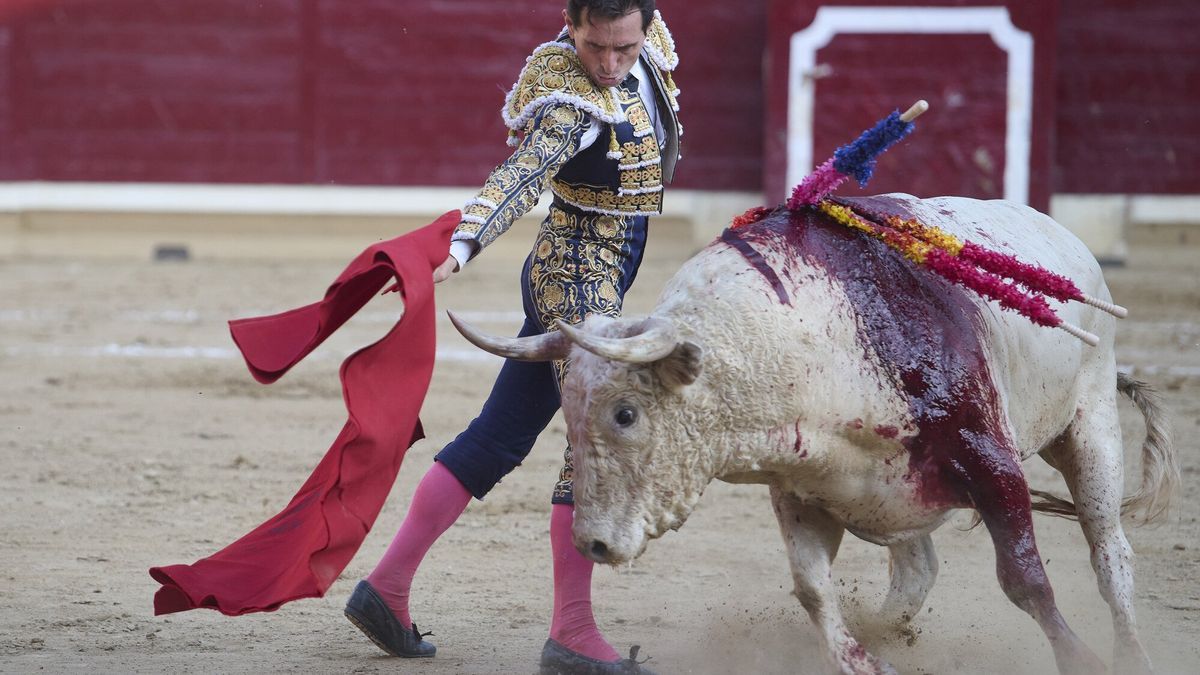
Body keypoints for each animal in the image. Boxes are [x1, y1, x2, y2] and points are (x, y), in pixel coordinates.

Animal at [451, 194, 1171, 672]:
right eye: (569, 410)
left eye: (626, 413)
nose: (593, 541)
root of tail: (1064, 238)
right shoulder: (803, 490)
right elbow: (812, 587)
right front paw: (860, 657)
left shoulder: (988, 459)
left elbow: (1024, 578)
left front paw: (1080, 657)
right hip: (895, 496)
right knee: (917, 570)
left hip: (1090, 424)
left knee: (1109, 551)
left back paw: (1133, 650)